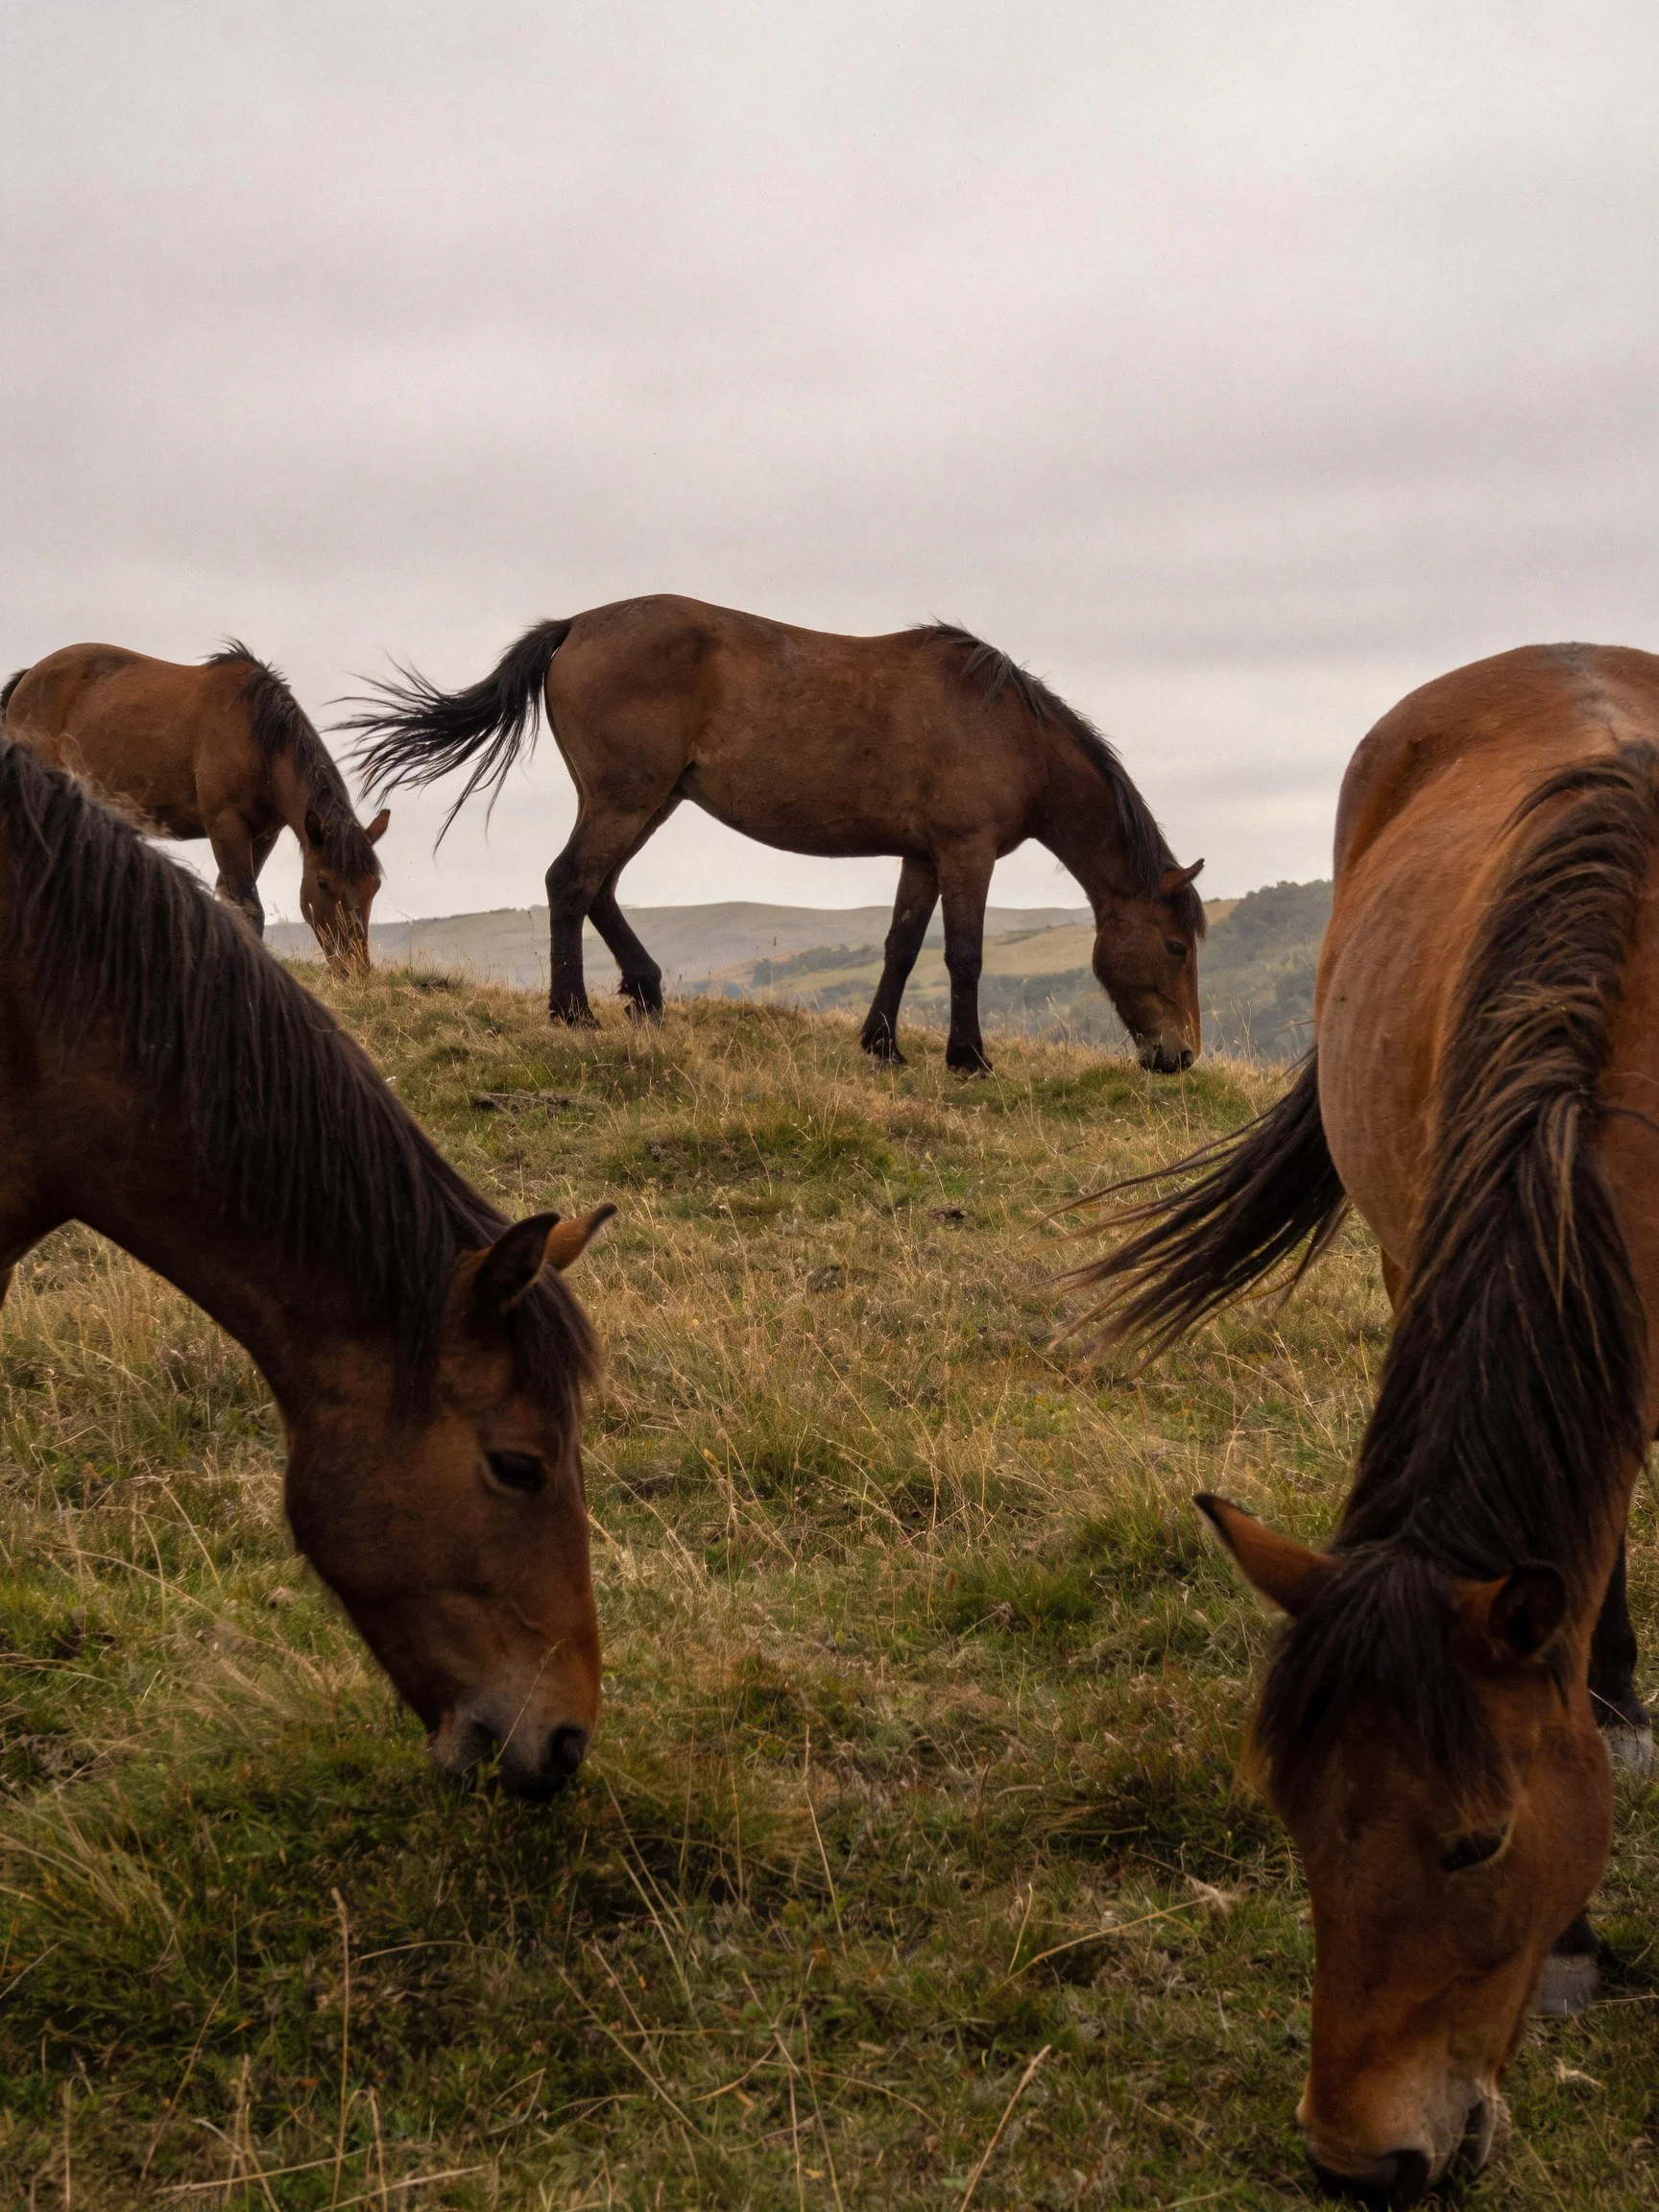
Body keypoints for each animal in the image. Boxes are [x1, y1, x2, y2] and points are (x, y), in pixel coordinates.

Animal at [1, 642, 390, 967]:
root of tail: (28, 678)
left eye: (374, 886)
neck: (256, 738)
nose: (355, 968)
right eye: (323, 883)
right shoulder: (226, 824)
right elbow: (248, 908)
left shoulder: (264, 836)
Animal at [340, 596, 1206, 1072]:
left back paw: (644, 991)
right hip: (628, 799)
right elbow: (964, 955)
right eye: (1174, 945)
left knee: (598, 888)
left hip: (648, 801)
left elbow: (900, 946)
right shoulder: (966, 853)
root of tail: (577, 624)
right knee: (571, 882)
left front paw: (883, 1046)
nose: (1182, 1056)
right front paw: (969, 1058)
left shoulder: (923, 856)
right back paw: (573, 1012)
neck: (1007, 730)